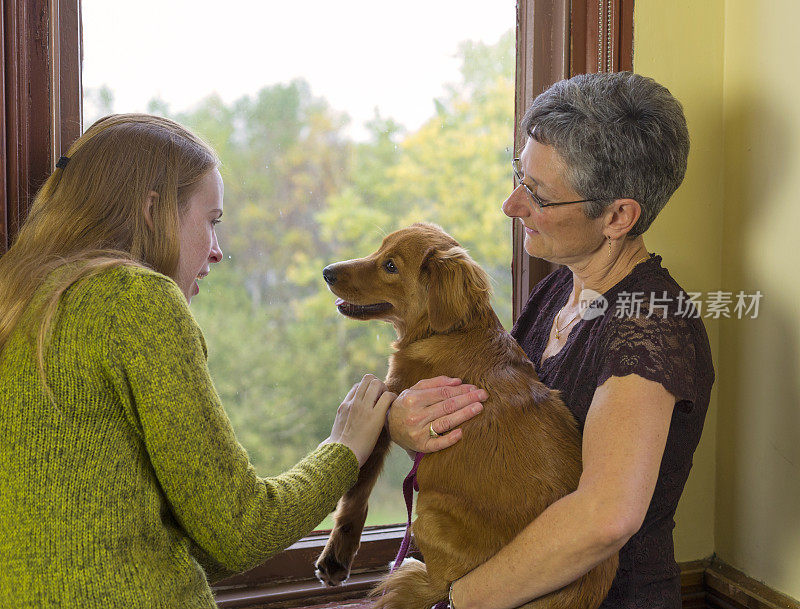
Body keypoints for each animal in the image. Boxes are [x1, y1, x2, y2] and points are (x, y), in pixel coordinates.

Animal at [316, 223, 616, 608]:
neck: (451, 330)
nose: (327, 272)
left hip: (428, 515)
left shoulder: (387, 406)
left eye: (391, 266)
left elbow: (358, 489)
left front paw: (336, 557)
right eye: (379, 249)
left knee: (440, 584)